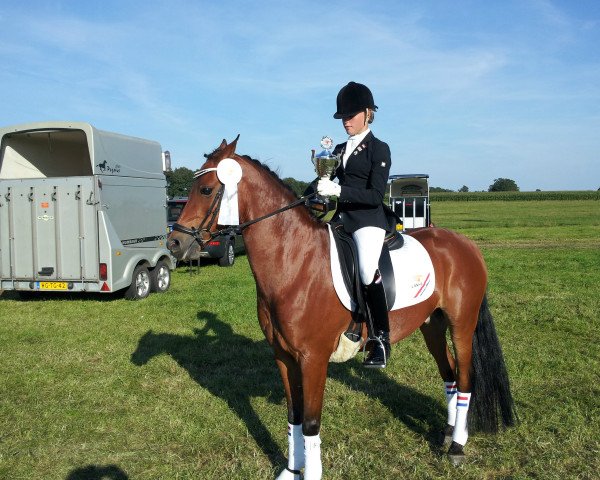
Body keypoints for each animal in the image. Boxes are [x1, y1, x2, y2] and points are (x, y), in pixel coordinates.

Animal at [169, 137, 516, 478]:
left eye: (206, 189)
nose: (174, 244)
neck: (293, 261)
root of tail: (465, 244)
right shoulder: (283, 356)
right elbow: (294, 416)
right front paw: (291, 470)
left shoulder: (313, 359)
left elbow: (310, 423)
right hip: (432, 324)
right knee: (450, 374)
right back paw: (446, 433)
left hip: (462, 324)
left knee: (466, 377)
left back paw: (457, 447)